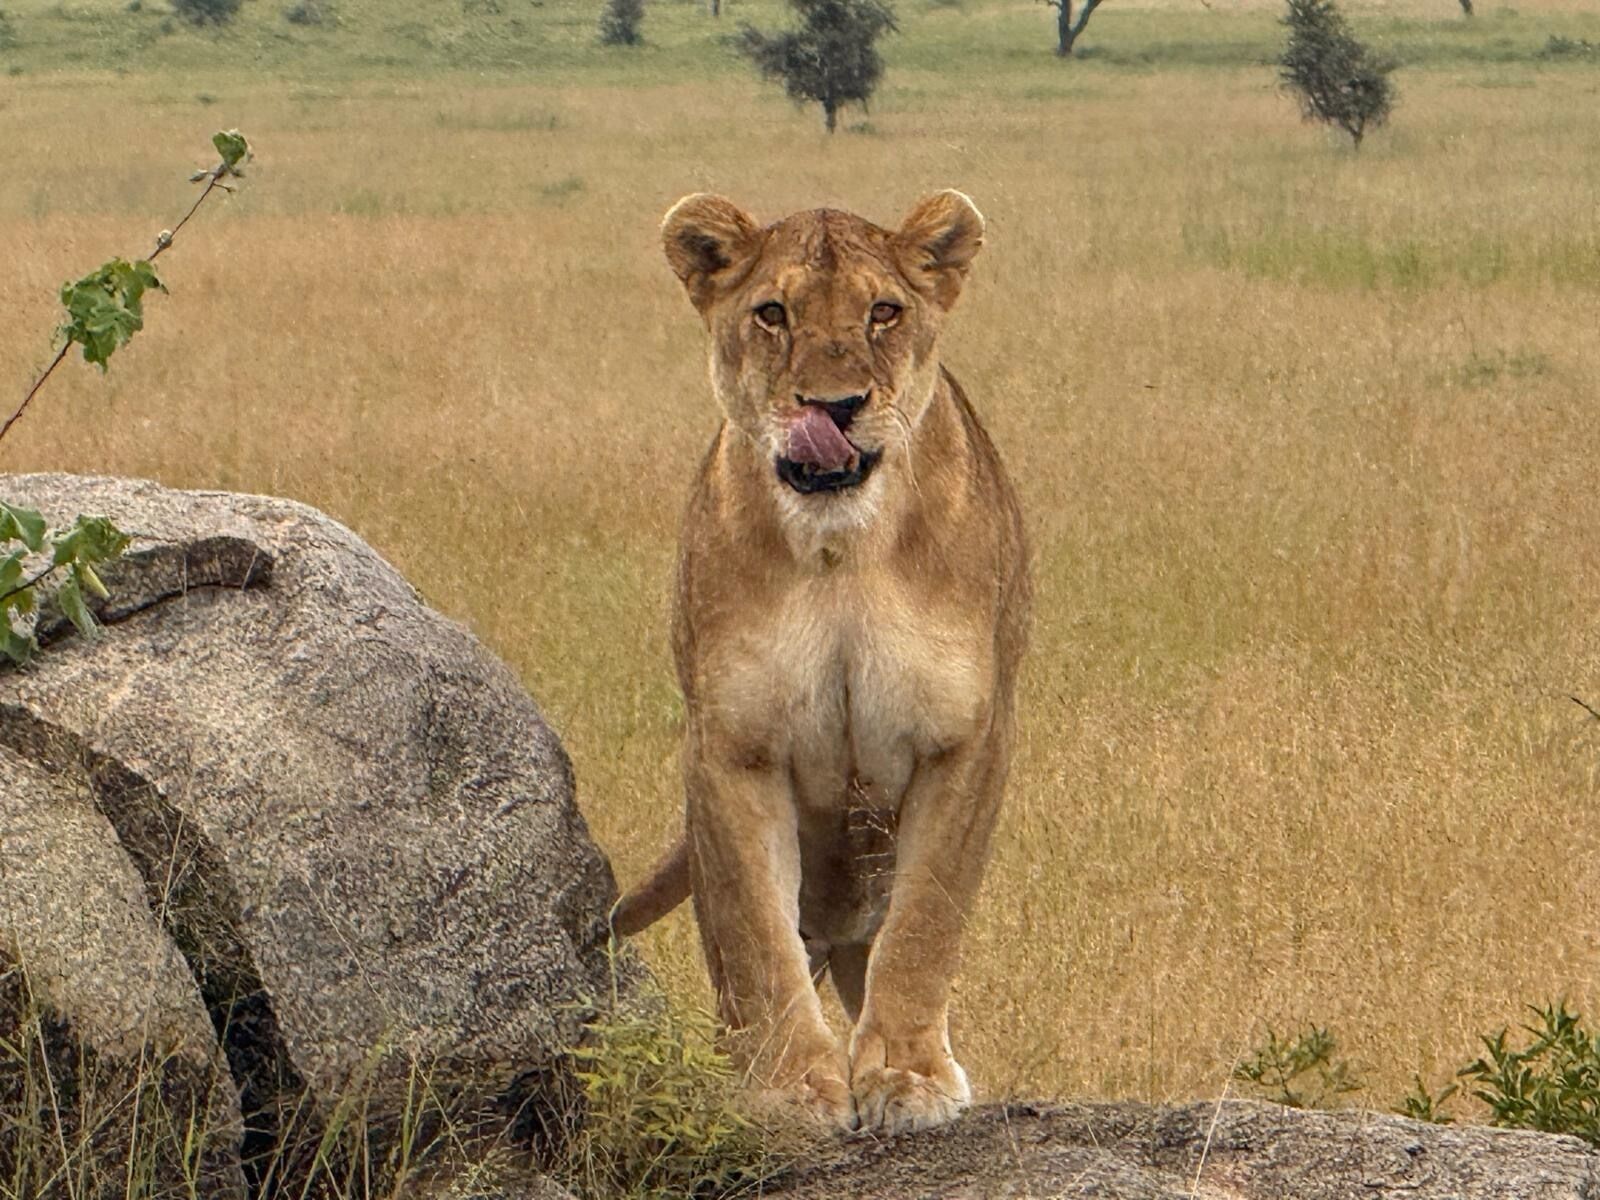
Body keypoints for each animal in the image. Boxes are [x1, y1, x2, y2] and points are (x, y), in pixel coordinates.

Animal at [612, 190, 1030, 1137]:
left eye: (884, 313)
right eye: (773, 313)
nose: (833, 407)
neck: (840, 549)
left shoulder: (966, 740)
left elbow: (926, 921)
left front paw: (908, 1075)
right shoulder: (731, 746)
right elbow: (753, 935)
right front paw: (789, 1087)